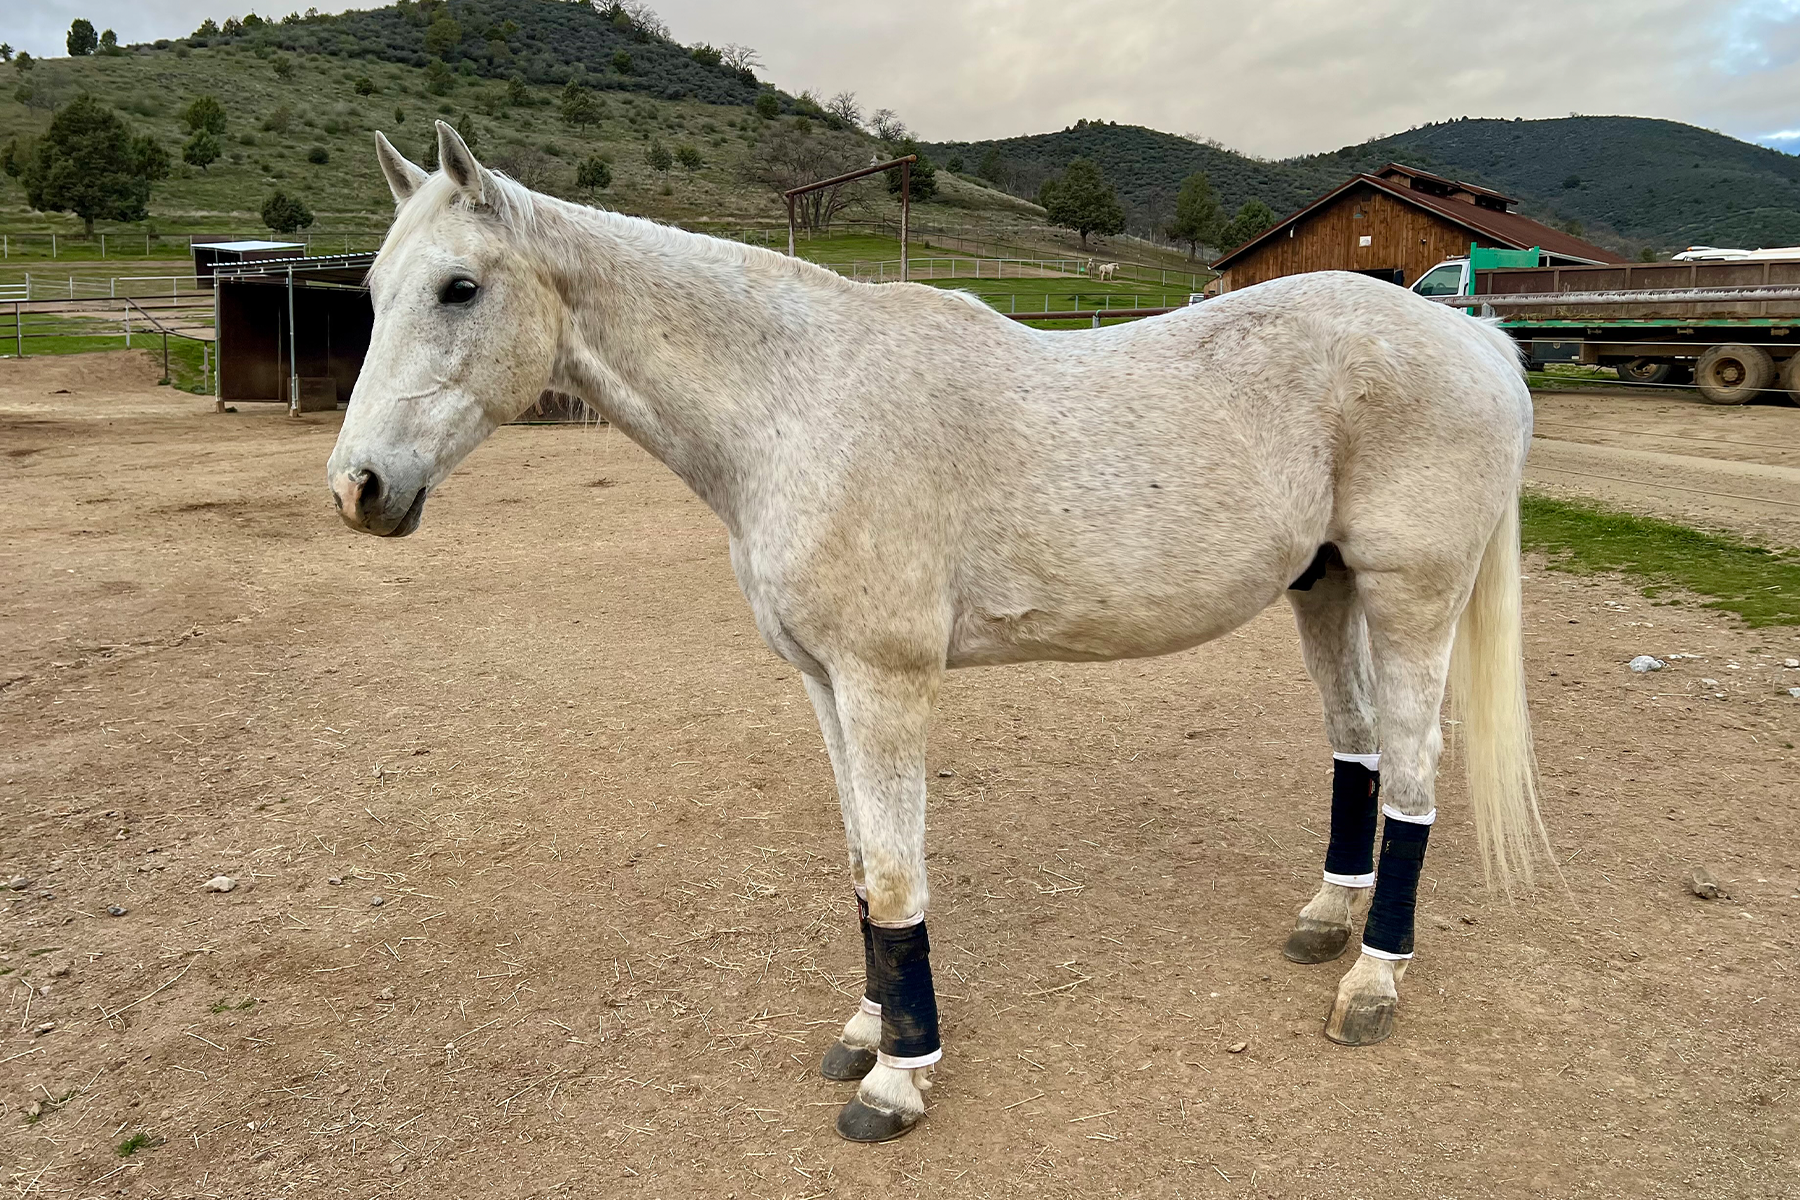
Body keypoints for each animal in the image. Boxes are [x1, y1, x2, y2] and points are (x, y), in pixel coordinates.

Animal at [327, 123, 1547, 1143]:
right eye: (375, 288)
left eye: (459, 288)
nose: (358, 488)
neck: (799, 406)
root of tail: (1474, 340)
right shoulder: (825, 684)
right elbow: (866, 868)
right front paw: (868, 1033)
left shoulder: (887, 680)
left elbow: (899, 876)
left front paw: (898, 1083)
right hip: (1323, 591)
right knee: (1358, 750)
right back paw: (1326, 922)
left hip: (1411, 601)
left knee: (1414, 779)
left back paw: (1372, 981)